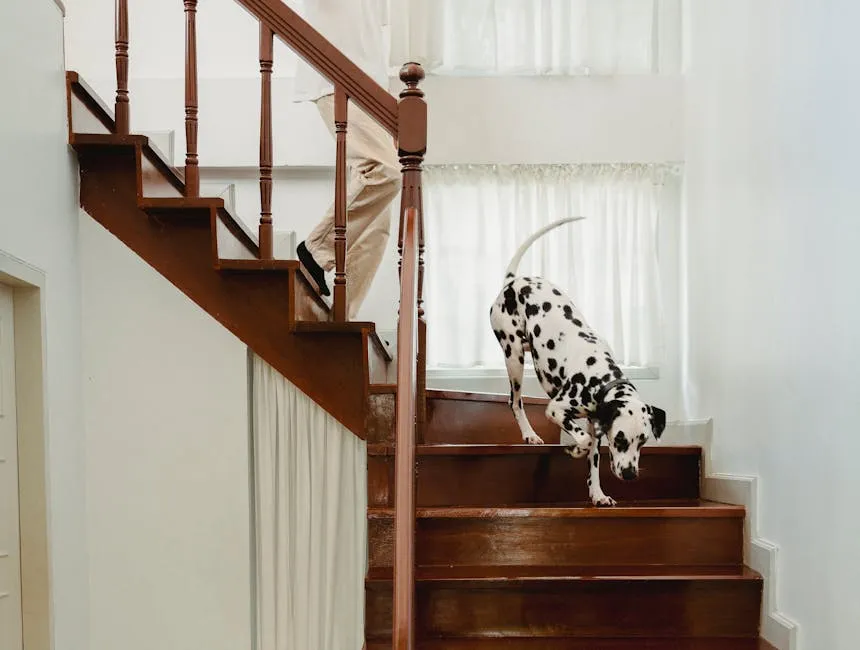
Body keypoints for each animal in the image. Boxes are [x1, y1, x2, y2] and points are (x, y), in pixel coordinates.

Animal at [490, 218, 664, 506]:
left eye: (643, 441)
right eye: (620, 440)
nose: (630, 475)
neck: (599, 378)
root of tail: (513, 281)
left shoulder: (597, 428)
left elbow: (593, 463)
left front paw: (598, 494)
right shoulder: (557, 410)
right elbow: (582, 441)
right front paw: (574, 450)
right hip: (513, 356)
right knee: (515, 402)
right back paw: (530, 434)